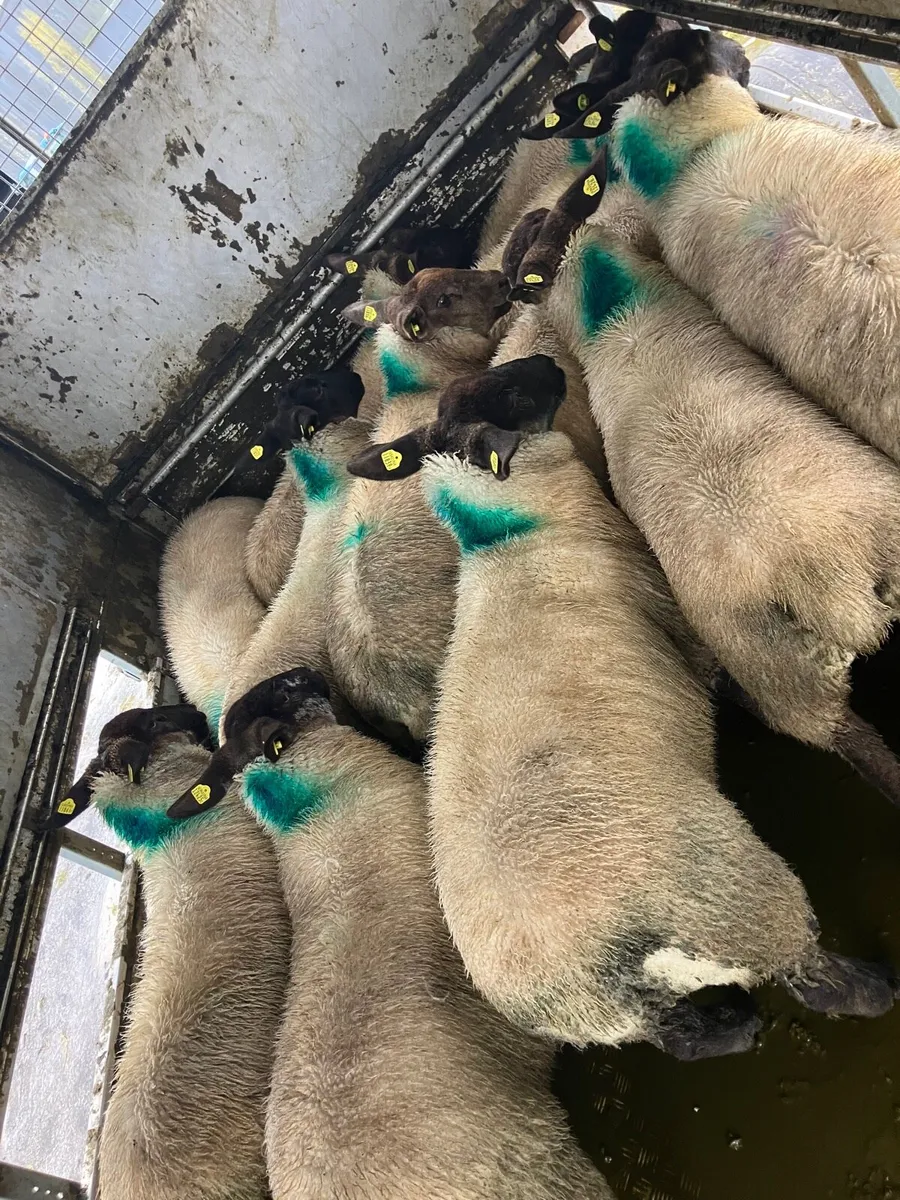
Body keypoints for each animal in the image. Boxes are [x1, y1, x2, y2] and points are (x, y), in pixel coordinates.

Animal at [346, 357, 896, 1051]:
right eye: (514, 394)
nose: (550, 365)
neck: (511, 542)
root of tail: (588, 977)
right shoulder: (684, 629)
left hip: (631, 1017)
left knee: (680, 1037)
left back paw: (734, 1028)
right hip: (735, 898)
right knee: (809, 972)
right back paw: (874, 988)